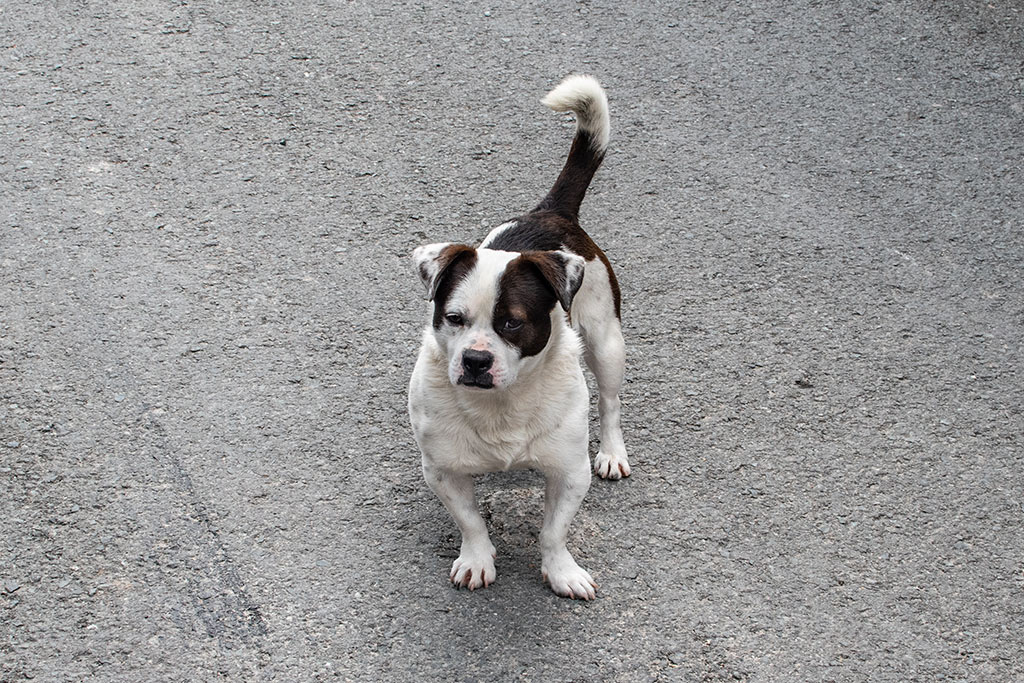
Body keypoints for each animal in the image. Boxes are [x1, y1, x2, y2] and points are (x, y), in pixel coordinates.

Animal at [405, 74, 626, 598]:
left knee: (610, 403)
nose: (476, 361)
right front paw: (477, 559)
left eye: (513, 322)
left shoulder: (569, 473)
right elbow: (470, 521)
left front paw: (561, 570)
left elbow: (553, 530)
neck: (501, 405)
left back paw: (612, 451)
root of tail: (548, 213)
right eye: (454, 318)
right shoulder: (442, 470)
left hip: (606, 342)